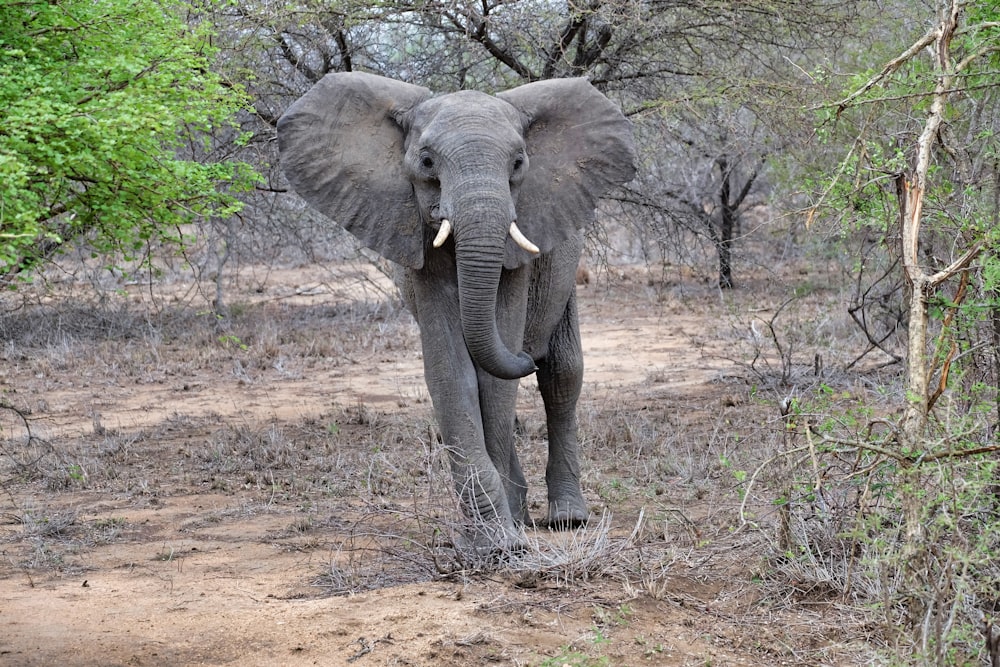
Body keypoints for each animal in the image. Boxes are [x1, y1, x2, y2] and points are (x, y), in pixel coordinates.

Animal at [276, 72, 632, 552]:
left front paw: (505, 536)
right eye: (427, 162)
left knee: (562, 374)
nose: (526, 354)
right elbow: (451, 369)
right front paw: (494, 539)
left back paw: (567, 518)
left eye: (518, 164)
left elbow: (494, 375)